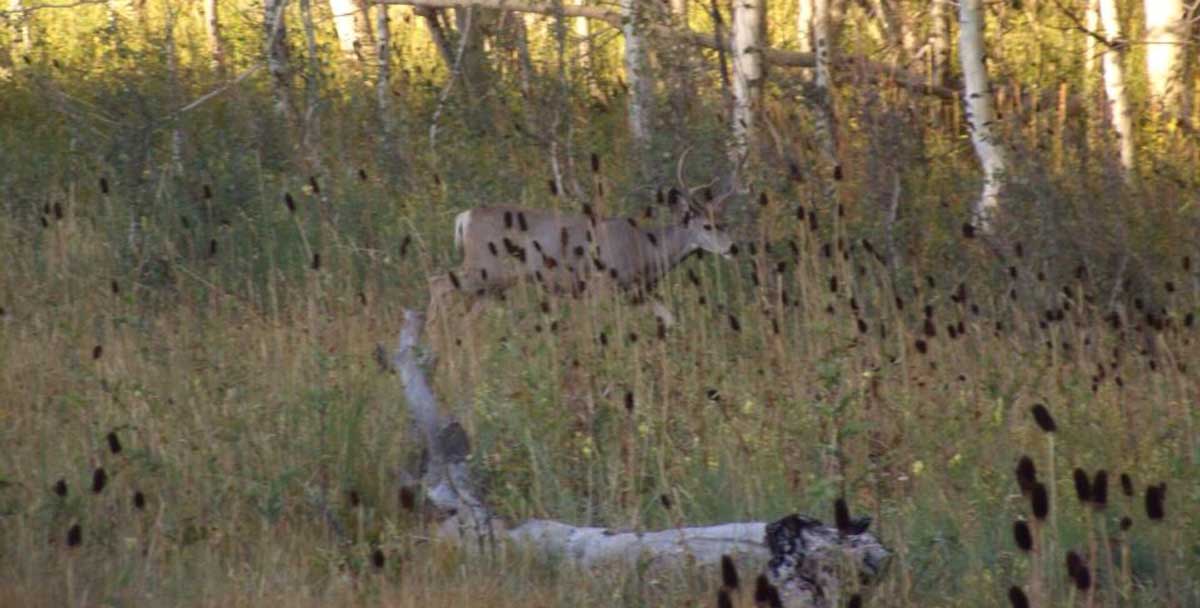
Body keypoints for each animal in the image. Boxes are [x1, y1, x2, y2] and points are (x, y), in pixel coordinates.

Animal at [426, 153, 738, 329]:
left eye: (726, 223)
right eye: (707, 226)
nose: (733, 248)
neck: (645, 249)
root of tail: (465, 217)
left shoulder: (636, 292)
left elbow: (669, 318)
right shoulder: (601, 285)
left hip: (493, 285)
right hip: (485, 267)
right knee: (438, 282)